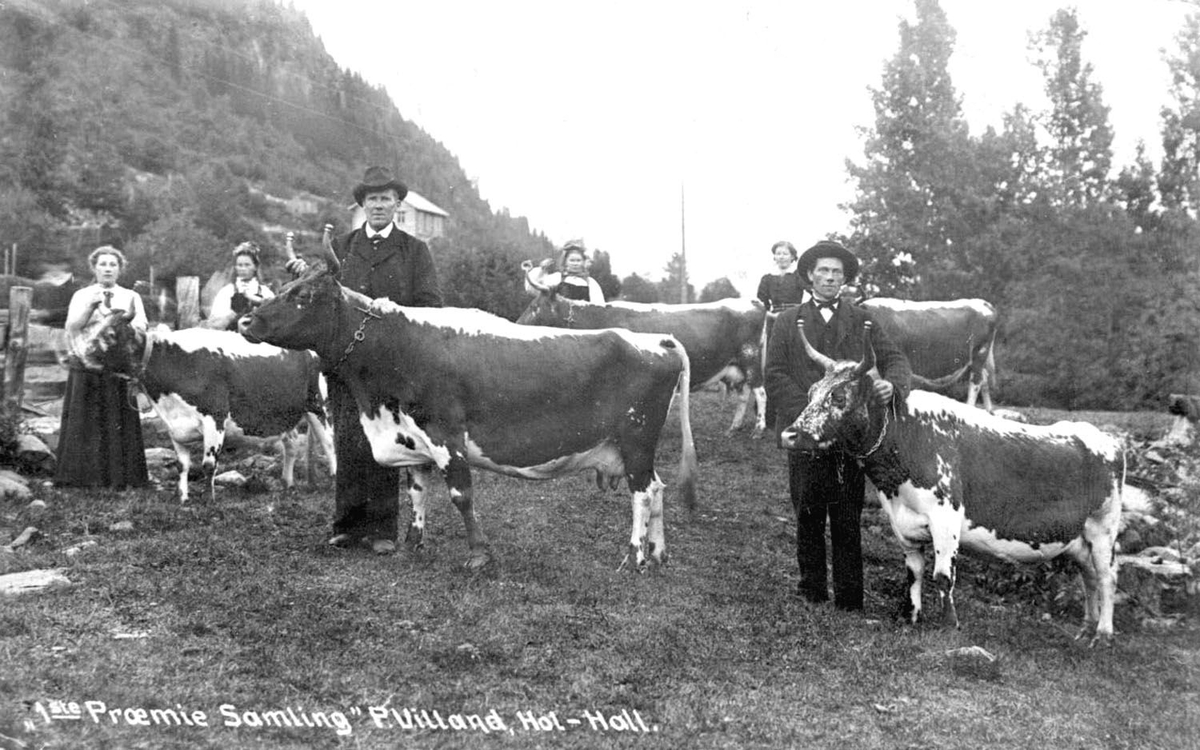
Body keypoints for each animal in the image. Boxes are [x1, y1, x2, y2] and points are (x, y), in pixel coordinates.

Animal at [80, 312, 336, 499]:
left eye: (110, 333)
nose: (80, 354)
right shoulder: (175, 427)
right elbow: (182, 465)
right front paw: (183, 498)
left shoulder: (215, 418)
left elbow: (209, 464)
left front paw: (208, 500)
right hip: (284, 414)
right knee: (291, 444)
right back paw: (287, 484)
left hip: (319, 408)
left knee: (329, 444)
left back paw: (333, 479)